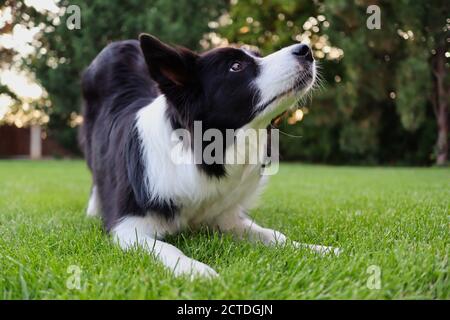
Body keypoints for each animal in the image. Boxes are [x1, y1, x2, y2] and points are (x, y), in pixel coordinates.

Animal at [80, 34, 338, 278]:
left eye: (257, 55)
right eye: (236, 66)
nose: (306, 49)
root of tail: (119, 43)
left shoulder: (225, 216)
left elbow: (275, 235)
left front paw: (315, 249)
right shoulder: (127, 228)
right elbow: (168, 248)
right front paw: (197, 270)